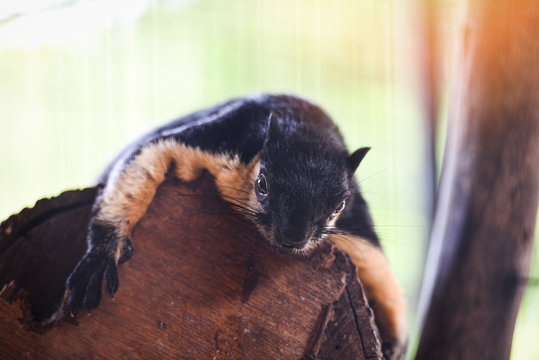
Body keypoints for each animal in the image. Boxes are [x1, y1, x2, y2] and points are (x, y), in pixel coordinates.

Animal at [65, 93, 408, 360]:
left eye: (338, 205)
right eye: (262, 184)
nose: (294, 237)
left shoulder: (354, 222)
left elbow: (377, 267)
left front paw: (395, 343)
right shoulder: (223, 137)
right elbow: (149, 153)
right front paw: (103, 253)